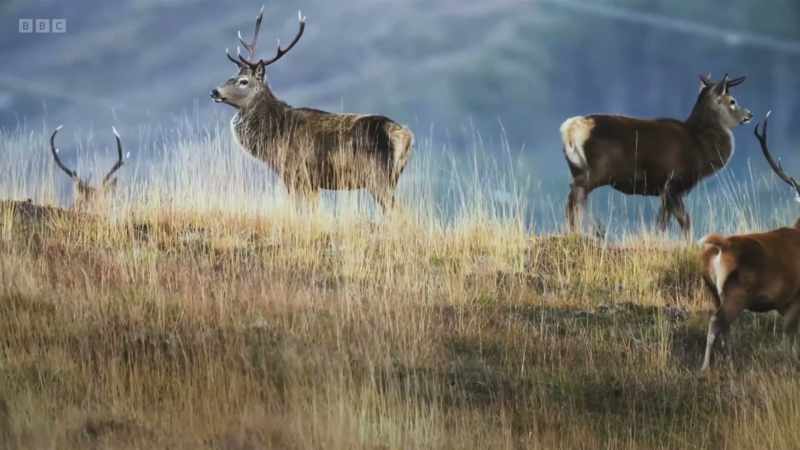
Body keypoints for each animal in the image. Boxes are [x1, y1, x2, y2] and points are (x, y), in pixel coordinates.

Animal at [210, 7, 414, 212]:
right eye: (231, 76)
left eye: (243, 81)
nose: (214, 91)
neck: (274, 135)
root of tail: (405, 135)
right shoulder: (311, 181)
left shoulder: (296, 172)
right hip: (390, 177)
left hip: (377, 175)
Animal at [561, 74, 753, 236]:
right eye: (732, 101)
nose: (749, 114)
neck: (700, 149)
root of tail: (570, 129)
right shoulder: (674, 182)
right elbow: (683, 221)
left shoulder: (665, 190)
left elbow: (664, 222)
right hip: (598, 170)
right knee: (576, 194)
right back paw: (581, 231)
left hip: (577, 168)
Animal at [698, 113, 800, 371]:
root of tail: (720, 247)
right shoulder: (794, 297)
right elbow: (789, 335)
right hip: (737, 293)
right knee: (716, 323)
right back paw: (705, 367)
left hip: (712, 291)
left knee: (722, 326)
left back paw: (729, 360)